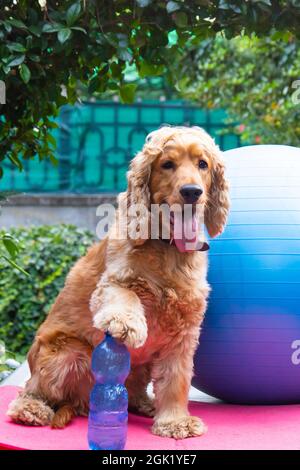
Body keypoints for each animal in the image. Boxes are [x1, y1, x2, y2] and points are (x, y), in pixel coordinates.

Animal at [7, 126, 230, 440]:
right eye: (167, 164)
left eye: (203, 164)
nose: (192, 192)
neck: (167, 247)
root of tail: (82, 404)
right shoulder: (111, 284)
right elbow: (125, 296)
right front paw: (126, 324)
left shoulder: (184, 329)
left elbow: (176, 378)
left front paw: (175, 422)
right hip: (68, 354)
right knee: (30, 390)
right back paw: (31, 410)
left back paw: (145, 404)